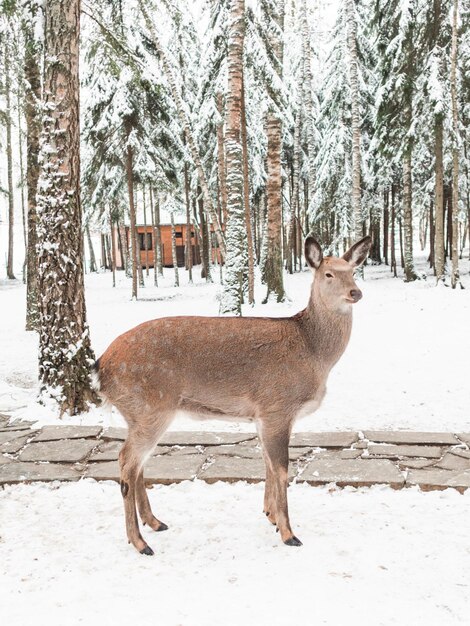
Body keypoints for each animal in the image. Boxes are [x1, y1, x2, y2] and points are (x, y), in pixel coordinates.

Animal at [92, 234, 370, 552]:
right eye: (328, 274)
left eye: (353, 270)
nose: (355, 292)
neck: (314, 355)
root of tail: (101, 367)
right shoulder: (277, 405)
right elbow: (281, 468)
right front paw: (289, 533)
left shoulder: (261, 415)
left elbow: (267, 464)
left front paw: (270, 515)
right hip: (149, 407)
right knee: (127, 461)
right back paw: (139, 542)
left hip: (140, 413)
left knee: (138, 464)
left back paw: (155, 522)